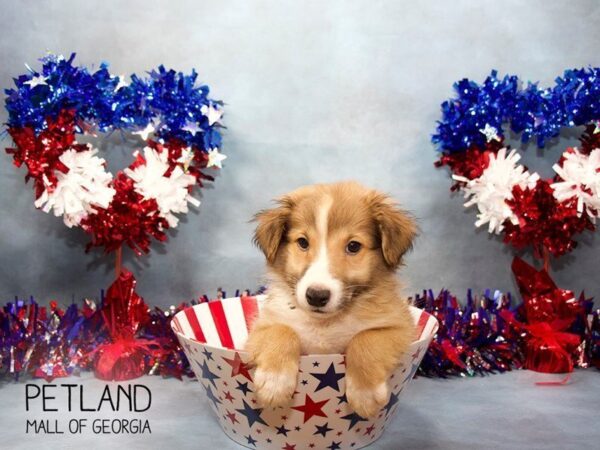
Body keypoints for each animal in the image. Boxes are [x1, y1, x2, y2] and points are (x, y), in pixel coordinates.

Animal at [244, 181, 418, 420]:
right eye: (303, 242)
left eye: (353, 246)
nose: (316, 296)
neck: (325, 324)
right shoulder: (261, 328)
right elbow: (281, 331)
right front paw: (274, 383)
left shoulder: (401, 327)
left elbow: (365, 339)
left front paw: (365, 394)